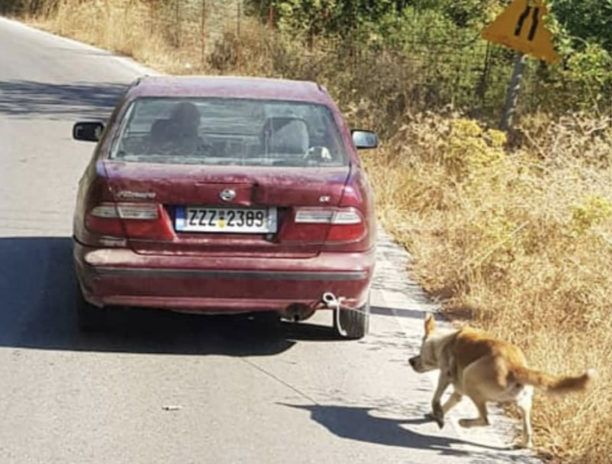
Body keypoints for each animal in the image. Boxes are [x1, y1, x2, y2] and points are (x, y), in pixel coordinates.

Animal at [408, 314, 596, 448]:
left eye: (420, 351)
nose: (411, 361)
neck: (444, 340)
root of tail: (516, 366)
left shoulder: (445, 374)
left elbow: (436, 397)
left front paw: (438, 415)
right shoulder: (458, 389)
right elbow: (450, 401)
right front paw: (436, 415)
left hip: (470, 376)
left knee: (485, 419)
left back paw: (465, 422)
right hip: (524, 400)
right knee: (526, 427)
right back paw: (525, 443)